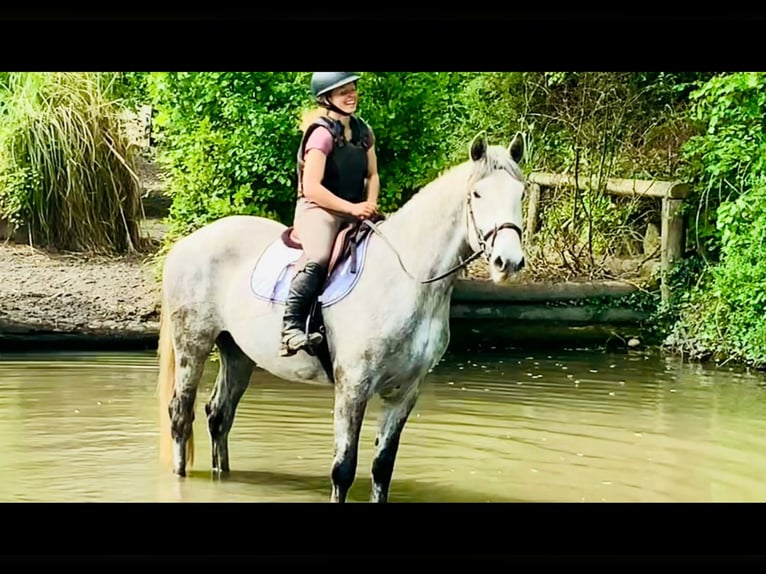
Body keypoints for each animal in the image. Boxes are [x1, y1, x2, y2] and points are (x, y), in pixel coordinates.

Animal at [156, 130, 528, 504]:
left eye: (521, 193)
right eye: (477, 194)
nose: (508, 262)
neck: (405, 278)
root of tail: (187, 243)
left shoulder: (405, 391)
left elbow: (382, 468)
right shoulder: (353, 387)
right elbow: (343, 469)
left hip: (237, 352)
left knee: (219, 416)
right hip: (193, 346)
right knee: (180, 415)